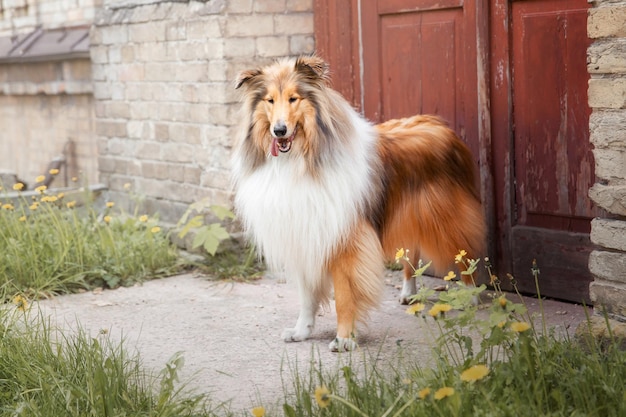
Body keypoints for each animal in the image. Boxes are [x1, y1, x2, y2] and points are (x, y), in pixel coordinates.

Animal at [232, 53, 486, 350]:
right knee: (410, 252)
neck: (301, 161)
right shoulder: (304, 238)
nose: (279, 131)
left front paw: (344, 339)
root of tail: (442, 126)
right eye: (269, 100)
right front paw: (301, 331)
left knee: (464, 256)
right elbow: (307, 297)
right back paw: (408, 292)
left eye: (294, 98)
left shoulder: (345, 241)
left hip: (445, 221)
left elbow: (344, 296)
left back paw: (471, 296)